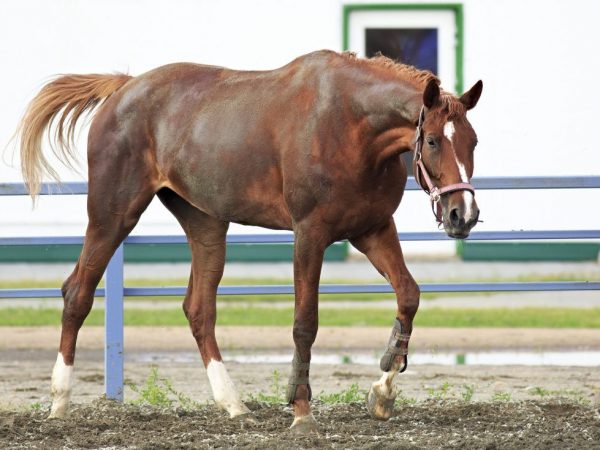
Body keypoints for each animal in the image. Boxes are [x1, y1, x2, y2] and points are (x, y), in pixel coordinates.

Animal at [14, 50, 482, 432]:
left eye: (473, 141)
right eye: (434, 140)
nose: (463, 214)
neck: (350, 124)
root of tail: (123, 88)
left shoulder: (372, 229)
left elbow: (409, 295)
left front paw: (383, 392)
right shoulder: (310, 234)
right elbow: (304, 323)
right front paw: (301, 412)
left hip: (205, 225)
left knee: (199, 309)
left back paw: (233, 404)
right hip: (112, 215)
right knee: (77, 293)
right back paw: (58, 403)